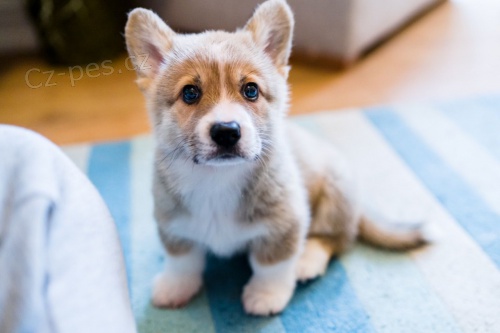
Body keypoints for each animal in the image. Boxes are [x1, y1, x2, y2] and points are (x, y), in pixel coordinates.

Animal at [125, 0, 426, 316]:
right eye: (190, 93)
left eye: (251, 90)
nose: (227, 132)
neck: (217, 180)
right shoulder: (173, 226)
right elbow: (182, 260)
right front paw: (175, 287)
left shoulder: (285, 224)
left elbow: (270, 265)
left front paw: (265, 295)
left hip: (336, 192)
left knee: (335, 238)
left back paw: (307, 261)